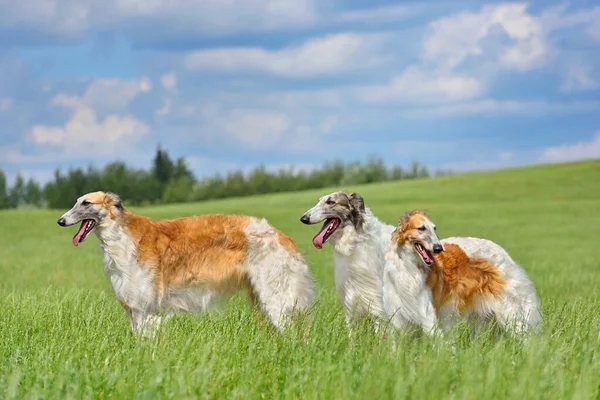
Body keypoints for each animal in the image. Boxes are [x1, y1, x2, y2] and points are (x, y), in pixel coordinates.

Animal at [58, 191, 316, 334]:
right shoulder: (134, 309)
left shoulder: (146, 309)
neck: (125, 238)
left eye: (86, 203)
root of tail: (282, 237)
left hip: (276, 300)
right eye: (76, 202)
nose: (60, 221)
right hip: (261, 299)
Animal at [300, 191, 394, 328]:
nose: (303, 218)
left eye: (330, 202)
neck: (354, 244)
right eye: (319, 200)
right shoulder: (350, 299)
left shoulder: (376, 301)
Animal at [384, 211, 544, 336]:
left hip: (509, 310)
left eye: (434, 229)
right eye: (421, 228)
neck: (409, 266)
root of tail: (505, 254)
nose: (438, 248)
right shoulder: (398, 315)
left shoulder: (428, 315)